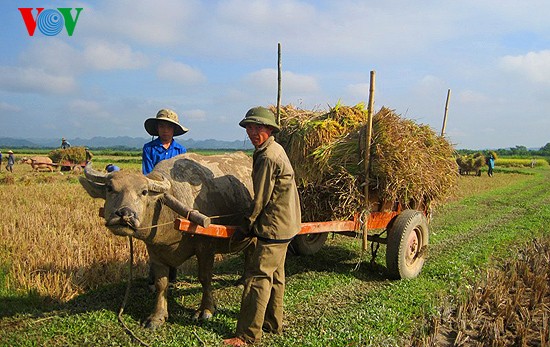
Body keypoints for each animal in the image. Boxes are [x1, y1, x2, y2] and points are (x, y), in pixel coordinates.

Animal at [78, 152, 256, 328]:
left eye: (144, 192)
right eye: (109, 188)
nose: (125, 214)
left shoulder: (206, 248)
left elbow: (205, 278)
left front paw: (206, 310)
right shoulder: (155, 251)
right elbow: (161, 283)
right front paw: (157, 317)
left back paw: (245, 281)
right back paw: (242, 280)